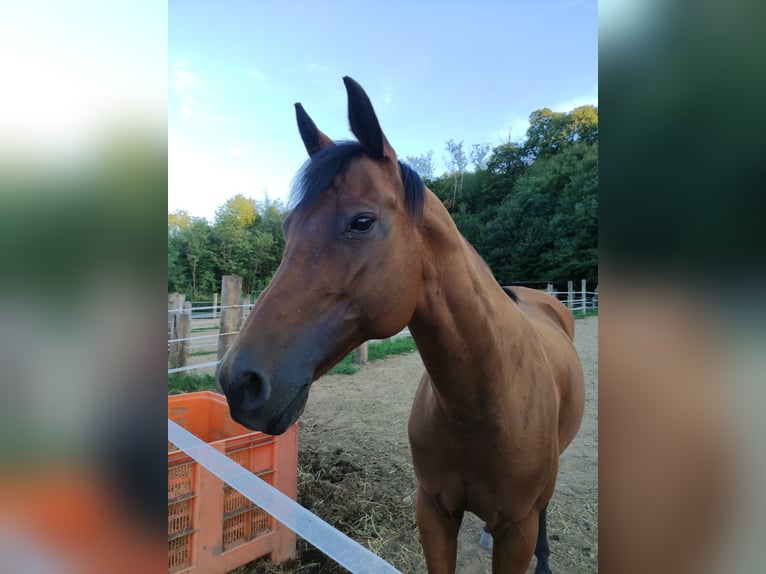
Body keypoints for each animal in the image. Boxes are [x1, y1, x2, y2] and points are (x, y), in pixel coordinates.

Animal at [218, 76, 585, 574]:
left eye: (362, 221)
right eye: (288, 227)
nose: (239, 382)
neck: (484, 400)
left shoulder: (517, 528)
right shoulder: (433, 511)